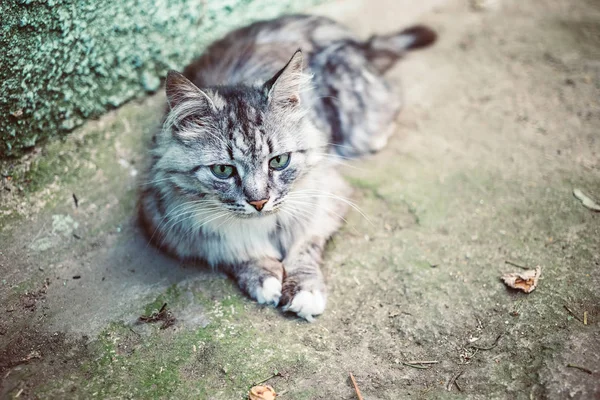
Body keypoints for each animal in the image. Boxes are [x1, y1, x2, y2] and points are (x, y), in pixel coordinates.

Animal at [138, 14, 434, 322]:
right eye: (223, 170)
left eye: (279, 161)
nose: (259, 202)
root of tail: (354, 40)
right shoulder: (169, 221)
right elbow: (234, 249)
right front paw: (263, 277)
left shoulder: (326, 196)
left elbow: (304, 246)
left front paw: (304, 290)